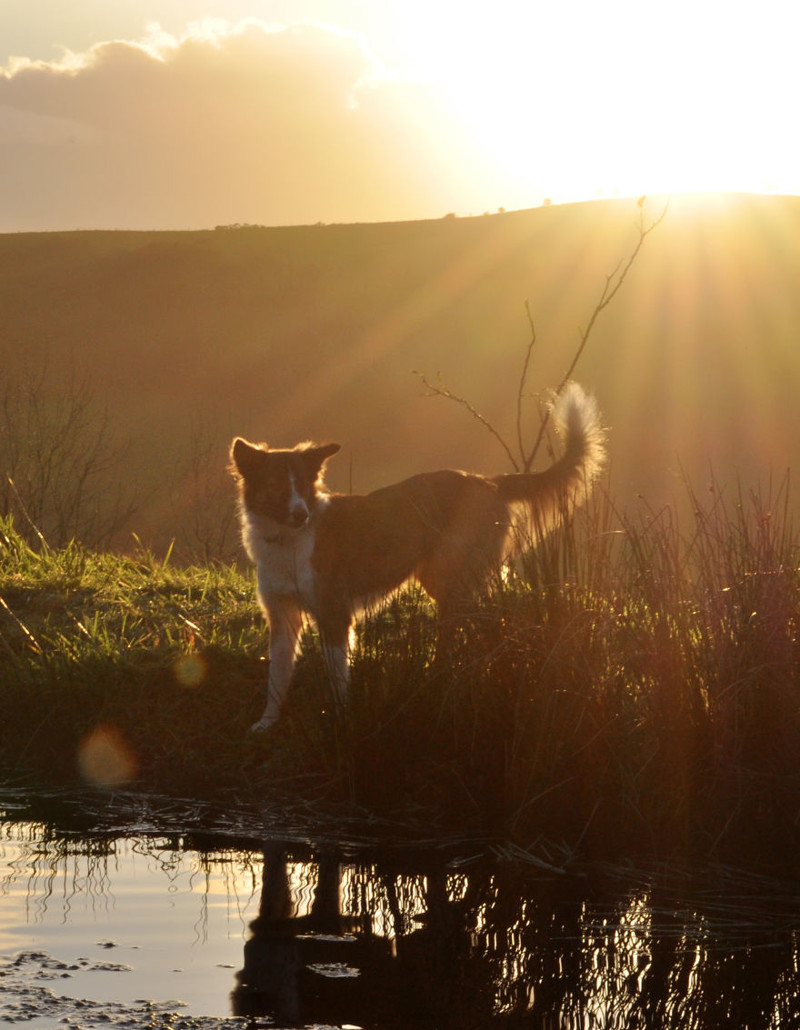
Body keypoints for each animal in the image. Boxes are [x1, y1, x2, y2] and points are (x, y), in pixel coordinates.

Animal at [230, 381, 605, 733]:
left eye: (303, 485)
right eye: (277, 485)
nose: (301, 514)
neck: (287, 541)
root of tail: (488, 481)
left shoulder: (334, 615)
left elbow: (337, 680)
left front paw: (338, 722)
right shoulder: (282, 617)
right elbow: (276, 678)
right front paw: (267, 723)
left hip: (454, 578)